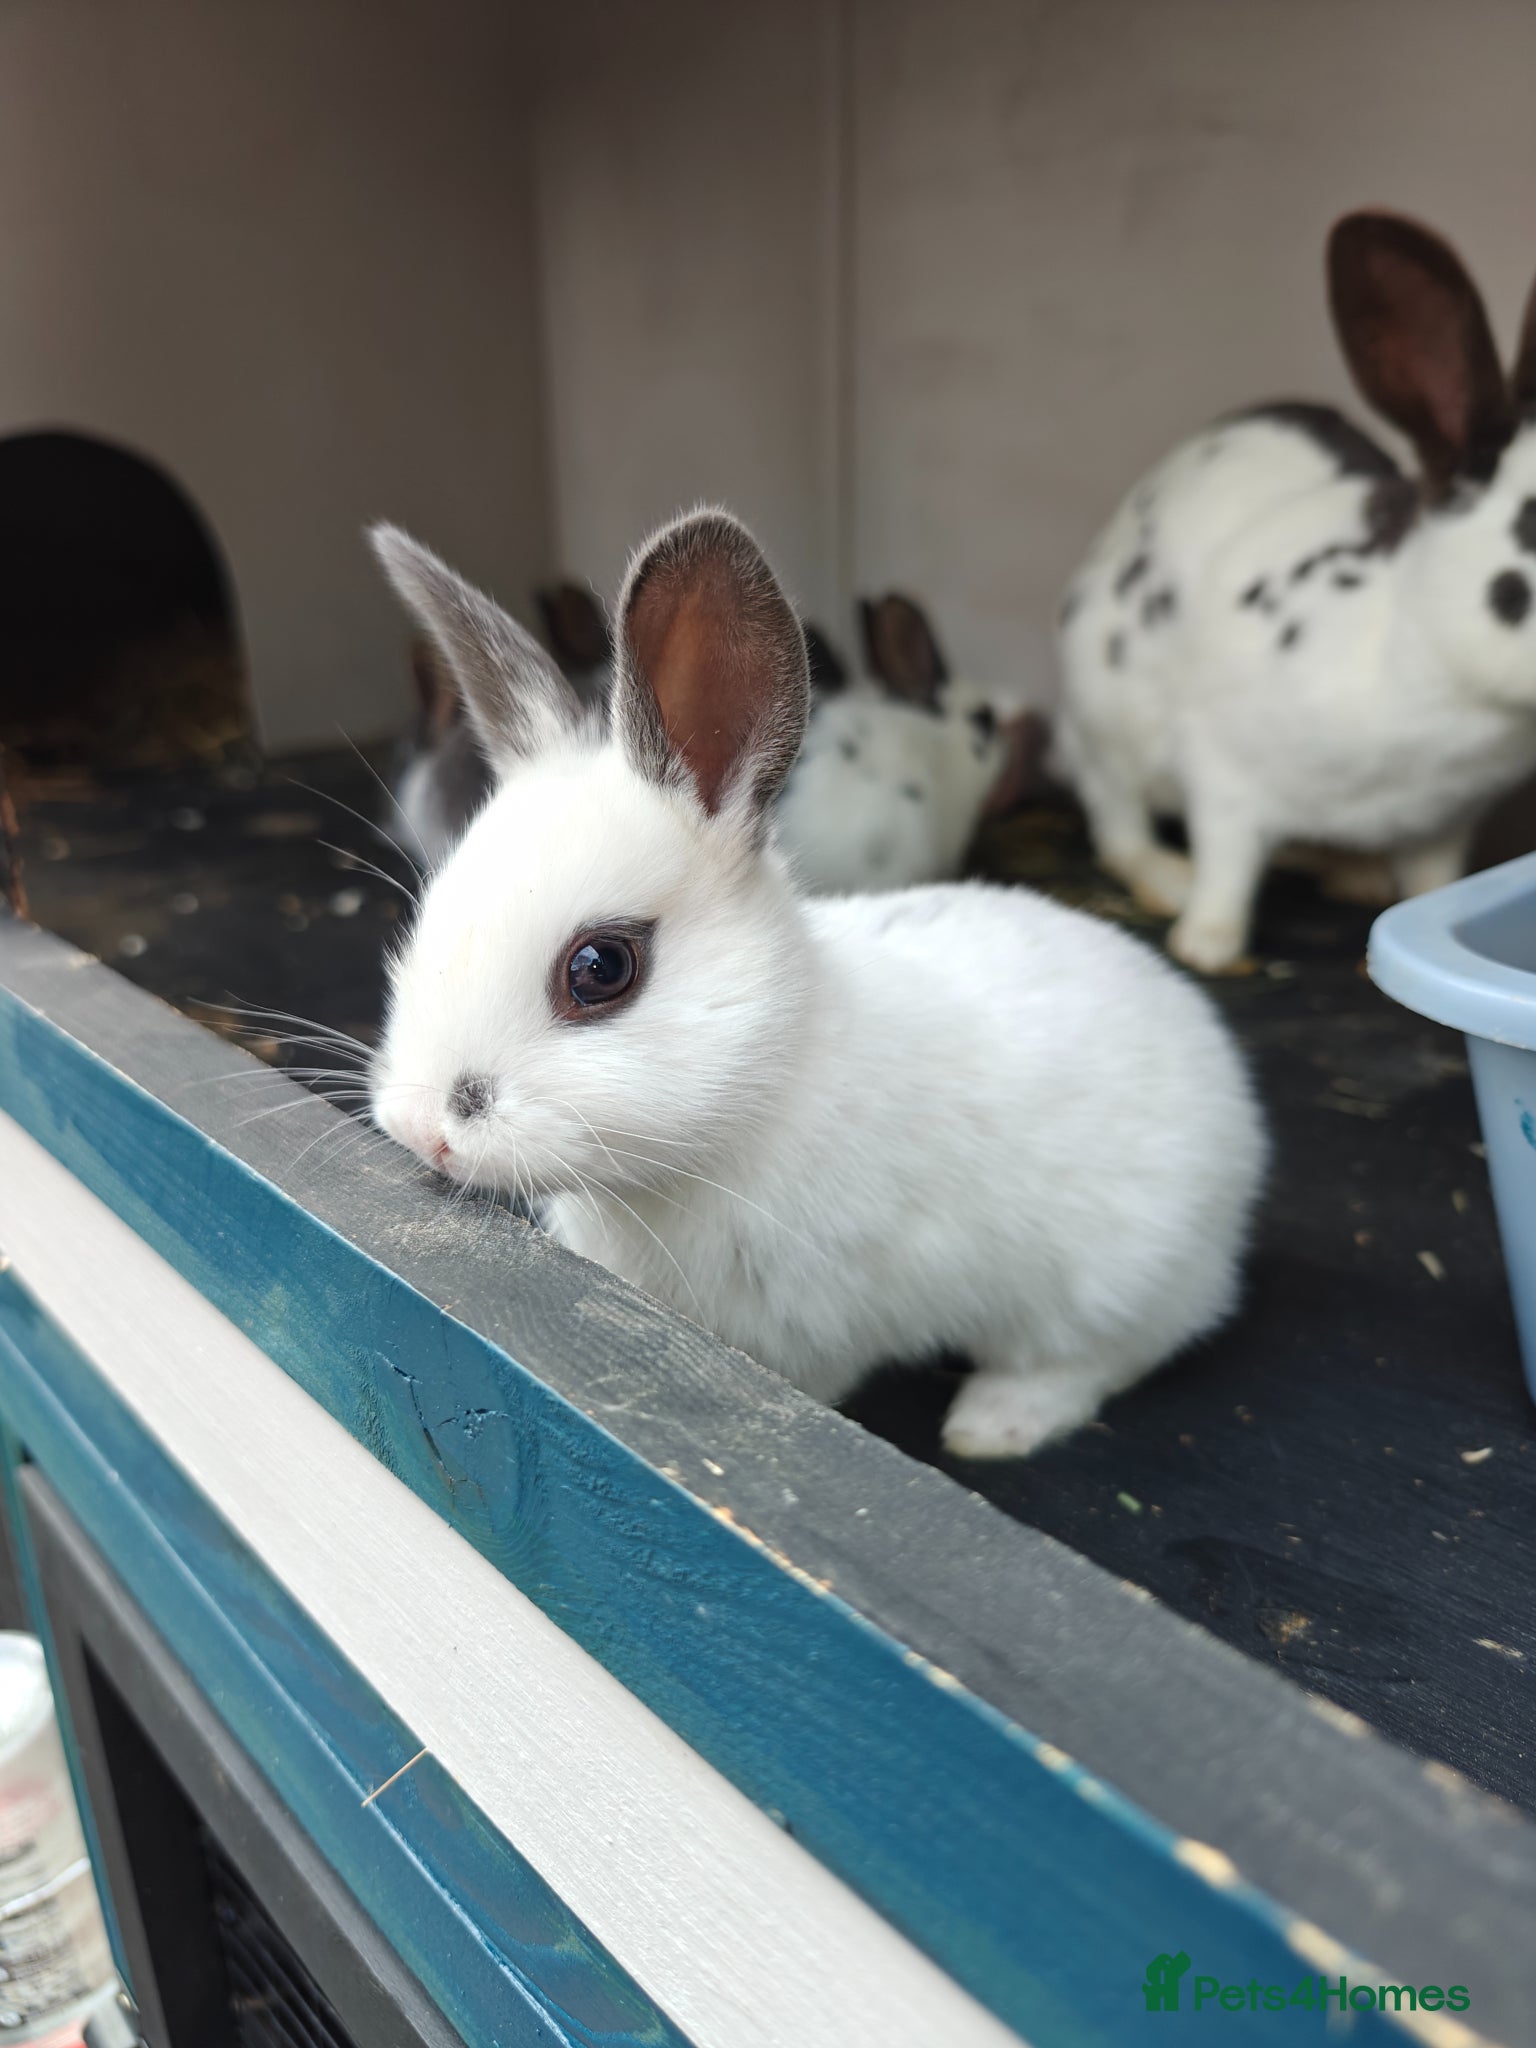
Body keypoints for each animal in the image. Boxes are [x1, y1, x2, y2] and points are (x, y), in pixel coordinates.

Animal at [366, 508, 1266, 1458]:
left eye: (600, 968)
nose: (423, 1132)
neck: (763, 1083)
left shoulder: (829, 1326)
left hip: (1111, 1286)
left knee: (1102, 1355)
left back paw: (991, 1423)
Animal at [1055, 208, 1536, 973]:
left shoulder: (1446, 824)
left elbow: (1436, 884)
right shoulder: (1222, 770)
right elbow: (1227, 864)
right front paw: (1207, 945)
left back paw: (1356, 875)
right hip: (1099, 713)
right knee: (1117, 823)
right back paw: (1169, 878)